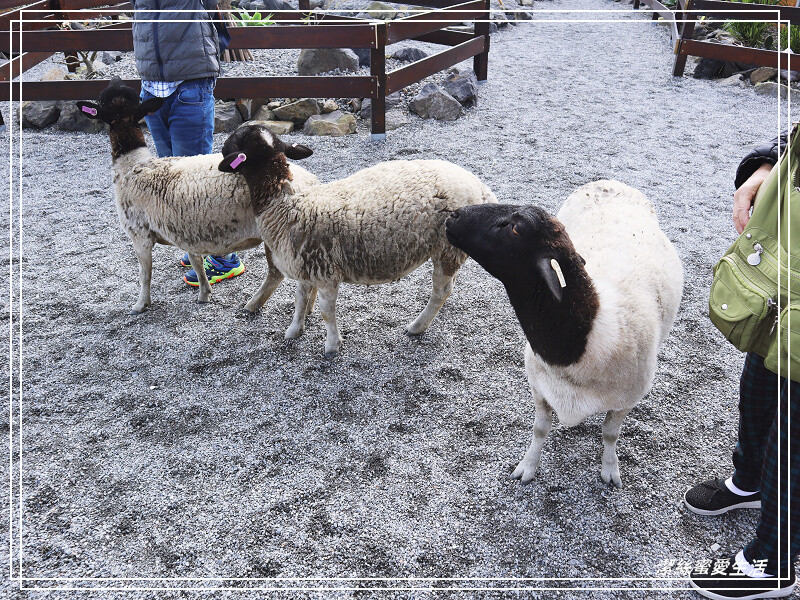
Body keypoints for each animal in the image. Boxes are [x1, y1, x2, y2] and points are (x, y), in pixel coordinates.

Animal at [76, 79, 319, 314]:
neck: (133, 162)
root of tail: (313, 184)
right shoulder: (185, 229)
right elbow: (196, 261)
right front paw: (204, 292)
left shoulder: (139, 233)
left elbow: (145, 274)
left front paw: (140, 305)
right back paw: (308, 308)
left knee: (277, 274)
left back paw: (254, 305)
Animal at [216, 123, 498, 356]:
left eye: (237, 139)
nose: (220, 149)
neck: (284, 205)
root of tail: (481, 187)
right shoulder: (306, 267)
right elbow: (300, 300)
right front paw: (294, 331)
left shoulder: (326, 272)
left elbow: (326, 312)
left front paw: (331, 346)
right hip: (450, 249)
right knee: (448, 287)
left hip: (446, 248)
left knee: (441, 291)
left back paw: (417, 327)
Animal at [444, 180, 683, 487]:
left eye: (516, 228)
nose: (454, 215)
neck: (584, 337)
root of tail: (610, 182)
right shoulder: (539, 387)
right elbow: (540, 429)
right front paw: (527, 466)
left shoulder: (625, 402)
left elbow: (610, 434)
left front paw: (610, 469)